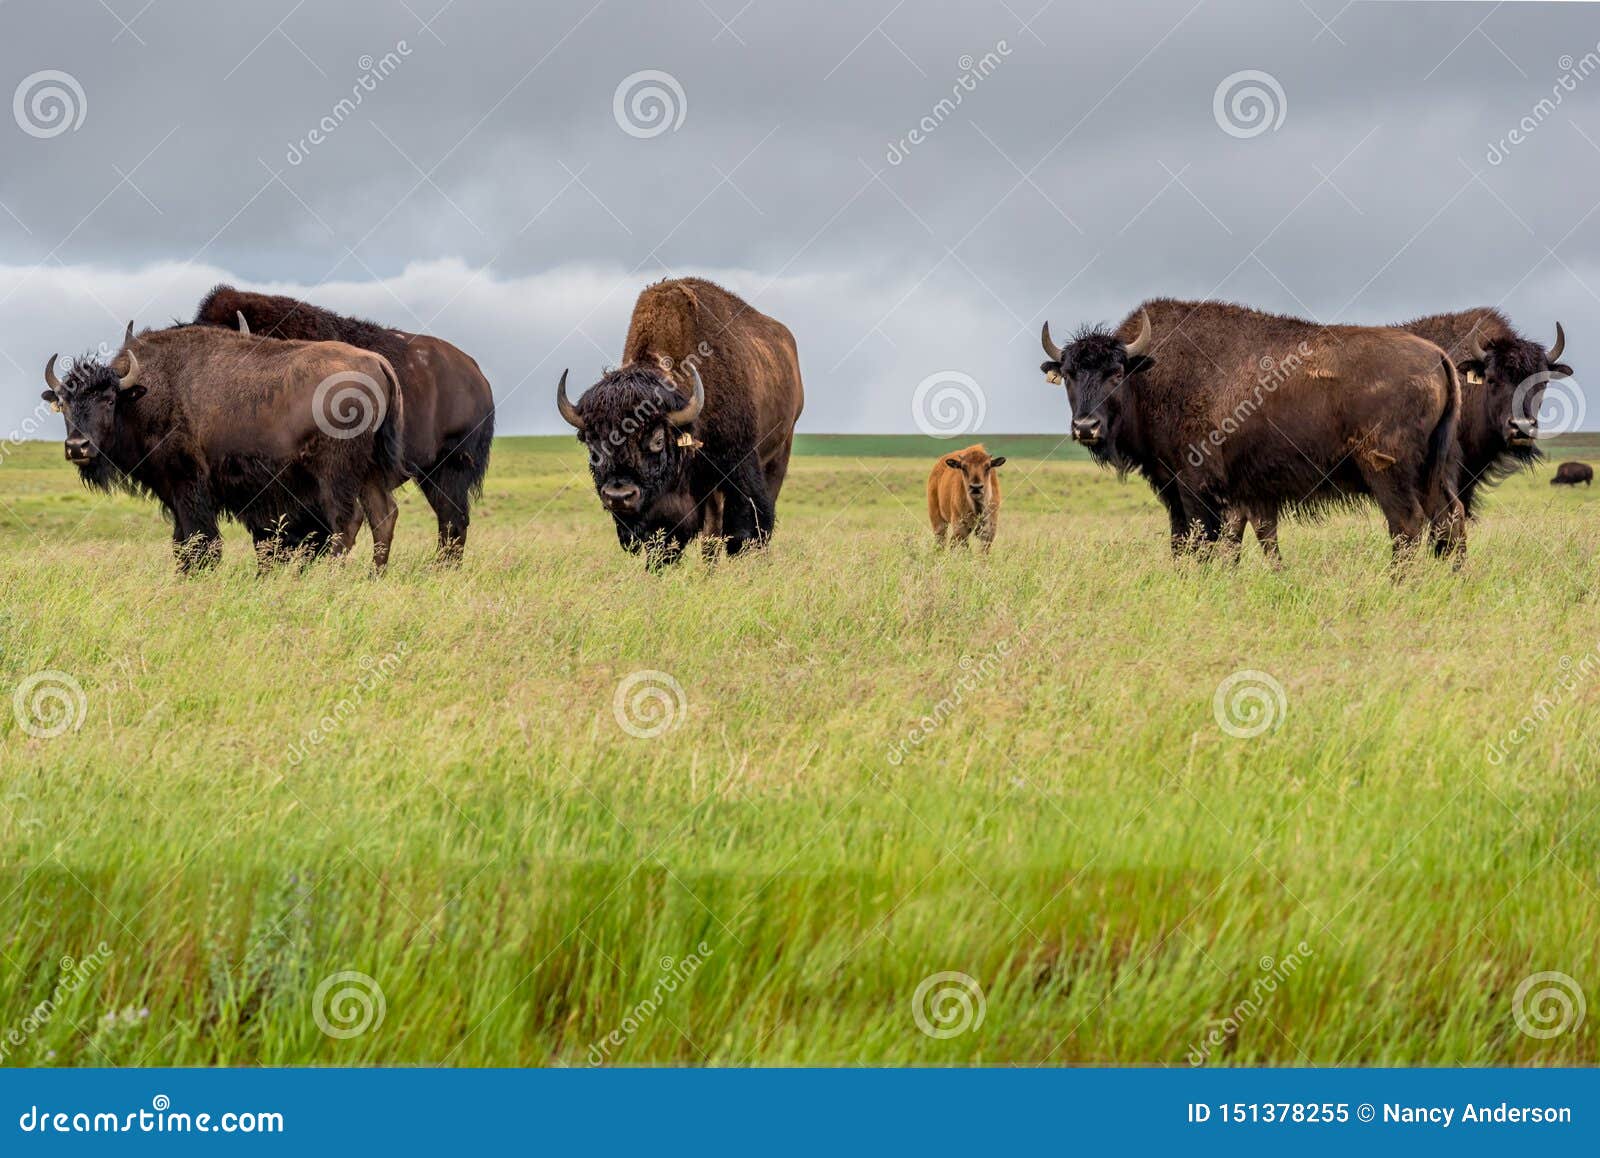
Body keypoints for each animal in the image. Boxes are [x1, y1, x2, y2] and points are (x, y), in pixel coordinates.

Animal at [43, 321, 403, 569]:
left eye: (107, 400)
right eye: (64, 403)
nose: (77, 447)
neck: (143, 395)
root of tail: (377, 362)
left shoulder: (187, 486)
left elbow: (199, 540)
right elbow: (182, 542)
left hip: (335, 473)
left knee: (348, 520)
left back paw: (332, 576)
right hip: (370, 470)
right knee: (383, 515)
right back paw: (373, 576)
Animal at [556, 276, 806, 566]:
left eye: (658, 439)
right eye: (592, 443)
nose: (619, 496)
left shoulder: (738, 465)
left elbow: (744, 529)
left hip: (780, 449)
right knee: (711, 533)